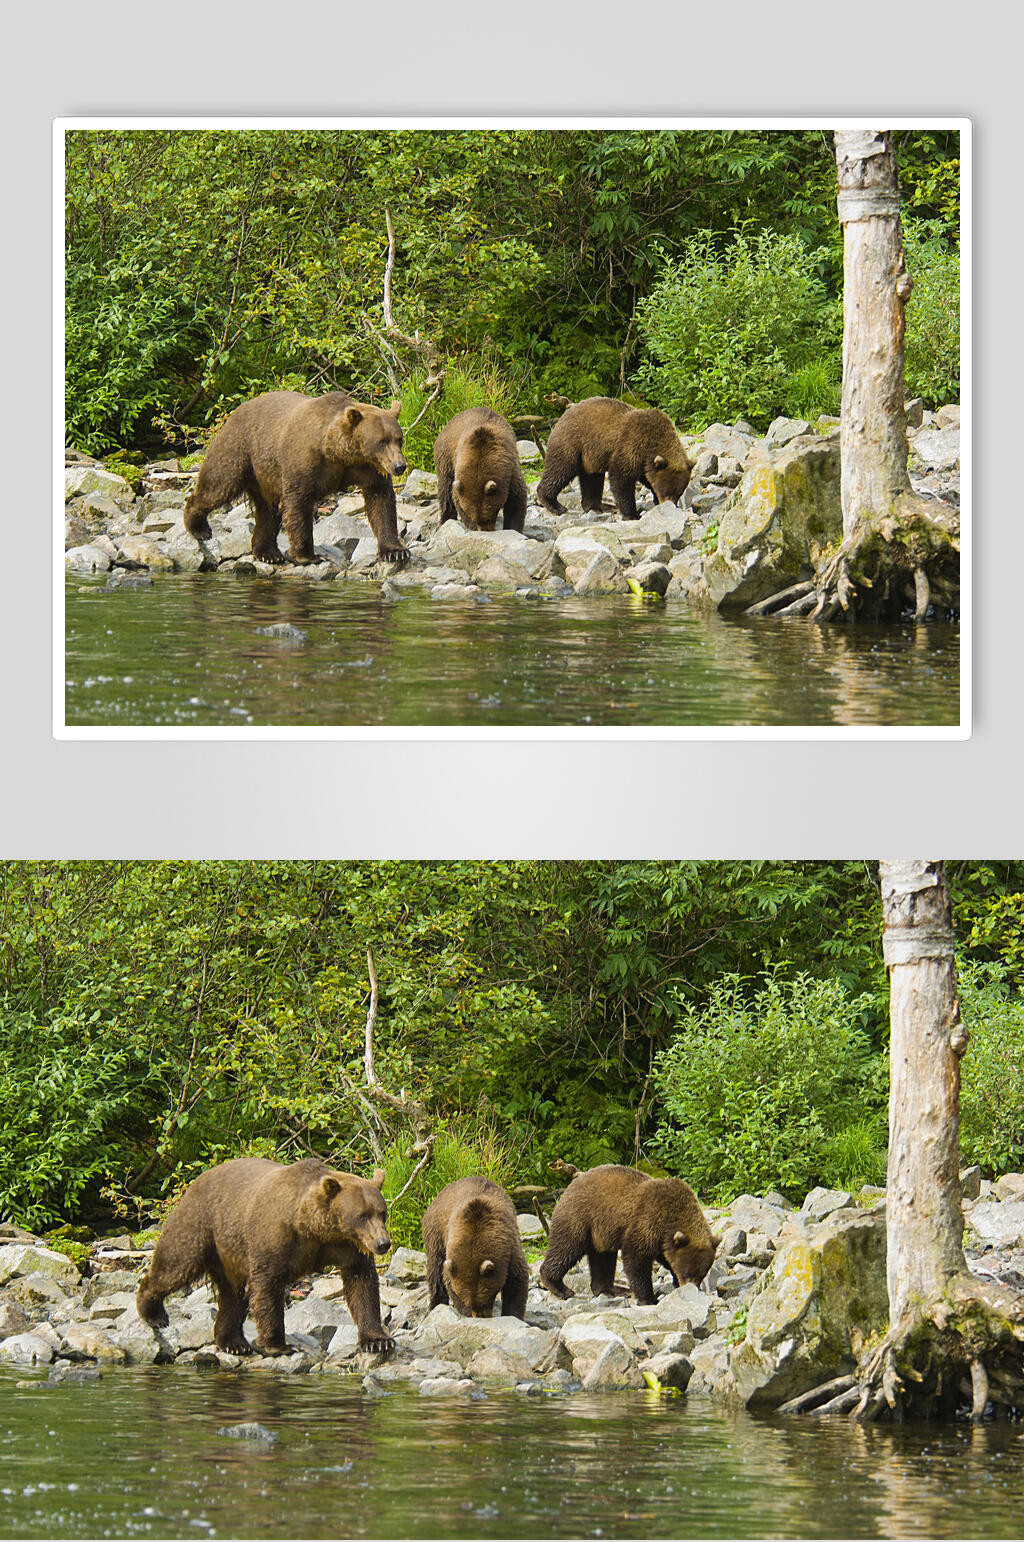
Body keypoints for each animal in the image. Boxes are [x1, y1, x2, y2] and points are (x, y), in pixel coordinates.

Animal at [134, 1153, 393, 1356]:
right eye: (362, 1215)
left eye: (382, 1213)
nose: (383, 1243)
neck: (313, 1228)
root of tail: (198, 1179)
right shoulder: (275, 1237)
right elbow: (267, 1286)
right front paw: (279, 1344)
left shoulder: (348, 1247)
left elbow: (362, 1284)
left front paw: (378, 1341)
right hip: (200, 1223)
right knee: (176, 1264)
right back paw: (154, 1314)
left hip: (229, 1252)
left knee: (232, 1295)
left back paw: (233, 1342)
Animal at [184, 391, 407, 567]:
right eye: (381, 441)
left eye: (399, 439)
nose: (400, 466)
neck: (338, 452)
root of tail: (238, 410)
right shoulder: (304, 461)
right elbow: (298, 503)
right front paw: (307, 555)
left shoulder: (368, 470)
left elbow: (381, 502)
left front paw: (395, 551)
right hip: (239, 448)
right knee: (218, 484)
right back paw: (199, 528)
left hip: (264, 473)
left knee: (267, 511)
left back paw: (268, 553)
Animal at [419, 1171, 527, 1319]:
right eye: (469, 1303)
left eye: (485, 1300)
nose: (481, 1316)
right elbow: (448, 1280)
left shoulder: (510, 1248)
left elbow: (517, 1281)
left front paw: (512, 1314)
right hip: (435, 1233)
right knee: (435, 1269)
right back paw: (435, 1304)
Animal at [536, 394, 687, 521]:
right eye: (667, 491)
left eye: (679, 492)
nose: (671, 505)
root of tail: (562, 417)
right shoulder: (631, 446)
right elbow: (621, 479)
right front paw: (632, 514)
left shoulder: (644, 462)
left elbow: (646, 478)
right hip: (571, 444)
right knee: (560, 470)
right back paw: (555, 505)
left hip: (590, 458)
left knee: (592, 480)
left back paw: (598, 506)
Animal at [539, 1159, 715, 1307]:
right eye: (688, 1272)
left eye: (702, 1274)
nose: (692, 1287)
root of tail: (569, 1188)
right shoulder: (648, 1221)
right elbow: (636, 1258)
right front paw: (649, 1298)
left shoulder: (662, 1238)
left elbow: (665, 1258)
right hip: (579, 1218)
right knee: (565, 1248)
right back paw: (560, 1288)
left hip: (600, 1234)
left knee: (602, 1259)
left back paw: (610, 1290)